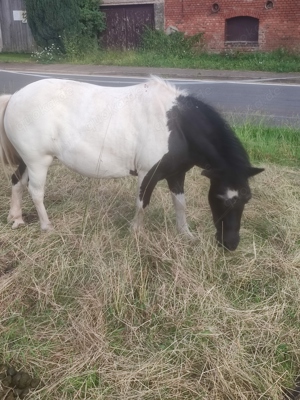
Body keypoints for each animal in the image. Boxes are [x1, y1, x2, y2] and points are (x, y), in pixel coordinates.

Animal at [0, 76, 262, 250]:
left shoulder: (176, 174)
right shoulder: (149, 173)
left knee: (17, 182)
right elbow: (142, 204)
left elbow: (180, 204)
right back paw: (46, 227)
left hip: (27, 160)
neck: (176, 126)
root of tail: (14, 98)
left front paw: (185, 234)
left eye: (247, 198)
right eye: (221, 198)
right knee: (36, 192)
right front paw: (135, 233)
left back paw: (16, 218)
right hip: (38, 161)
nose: (230, 244)